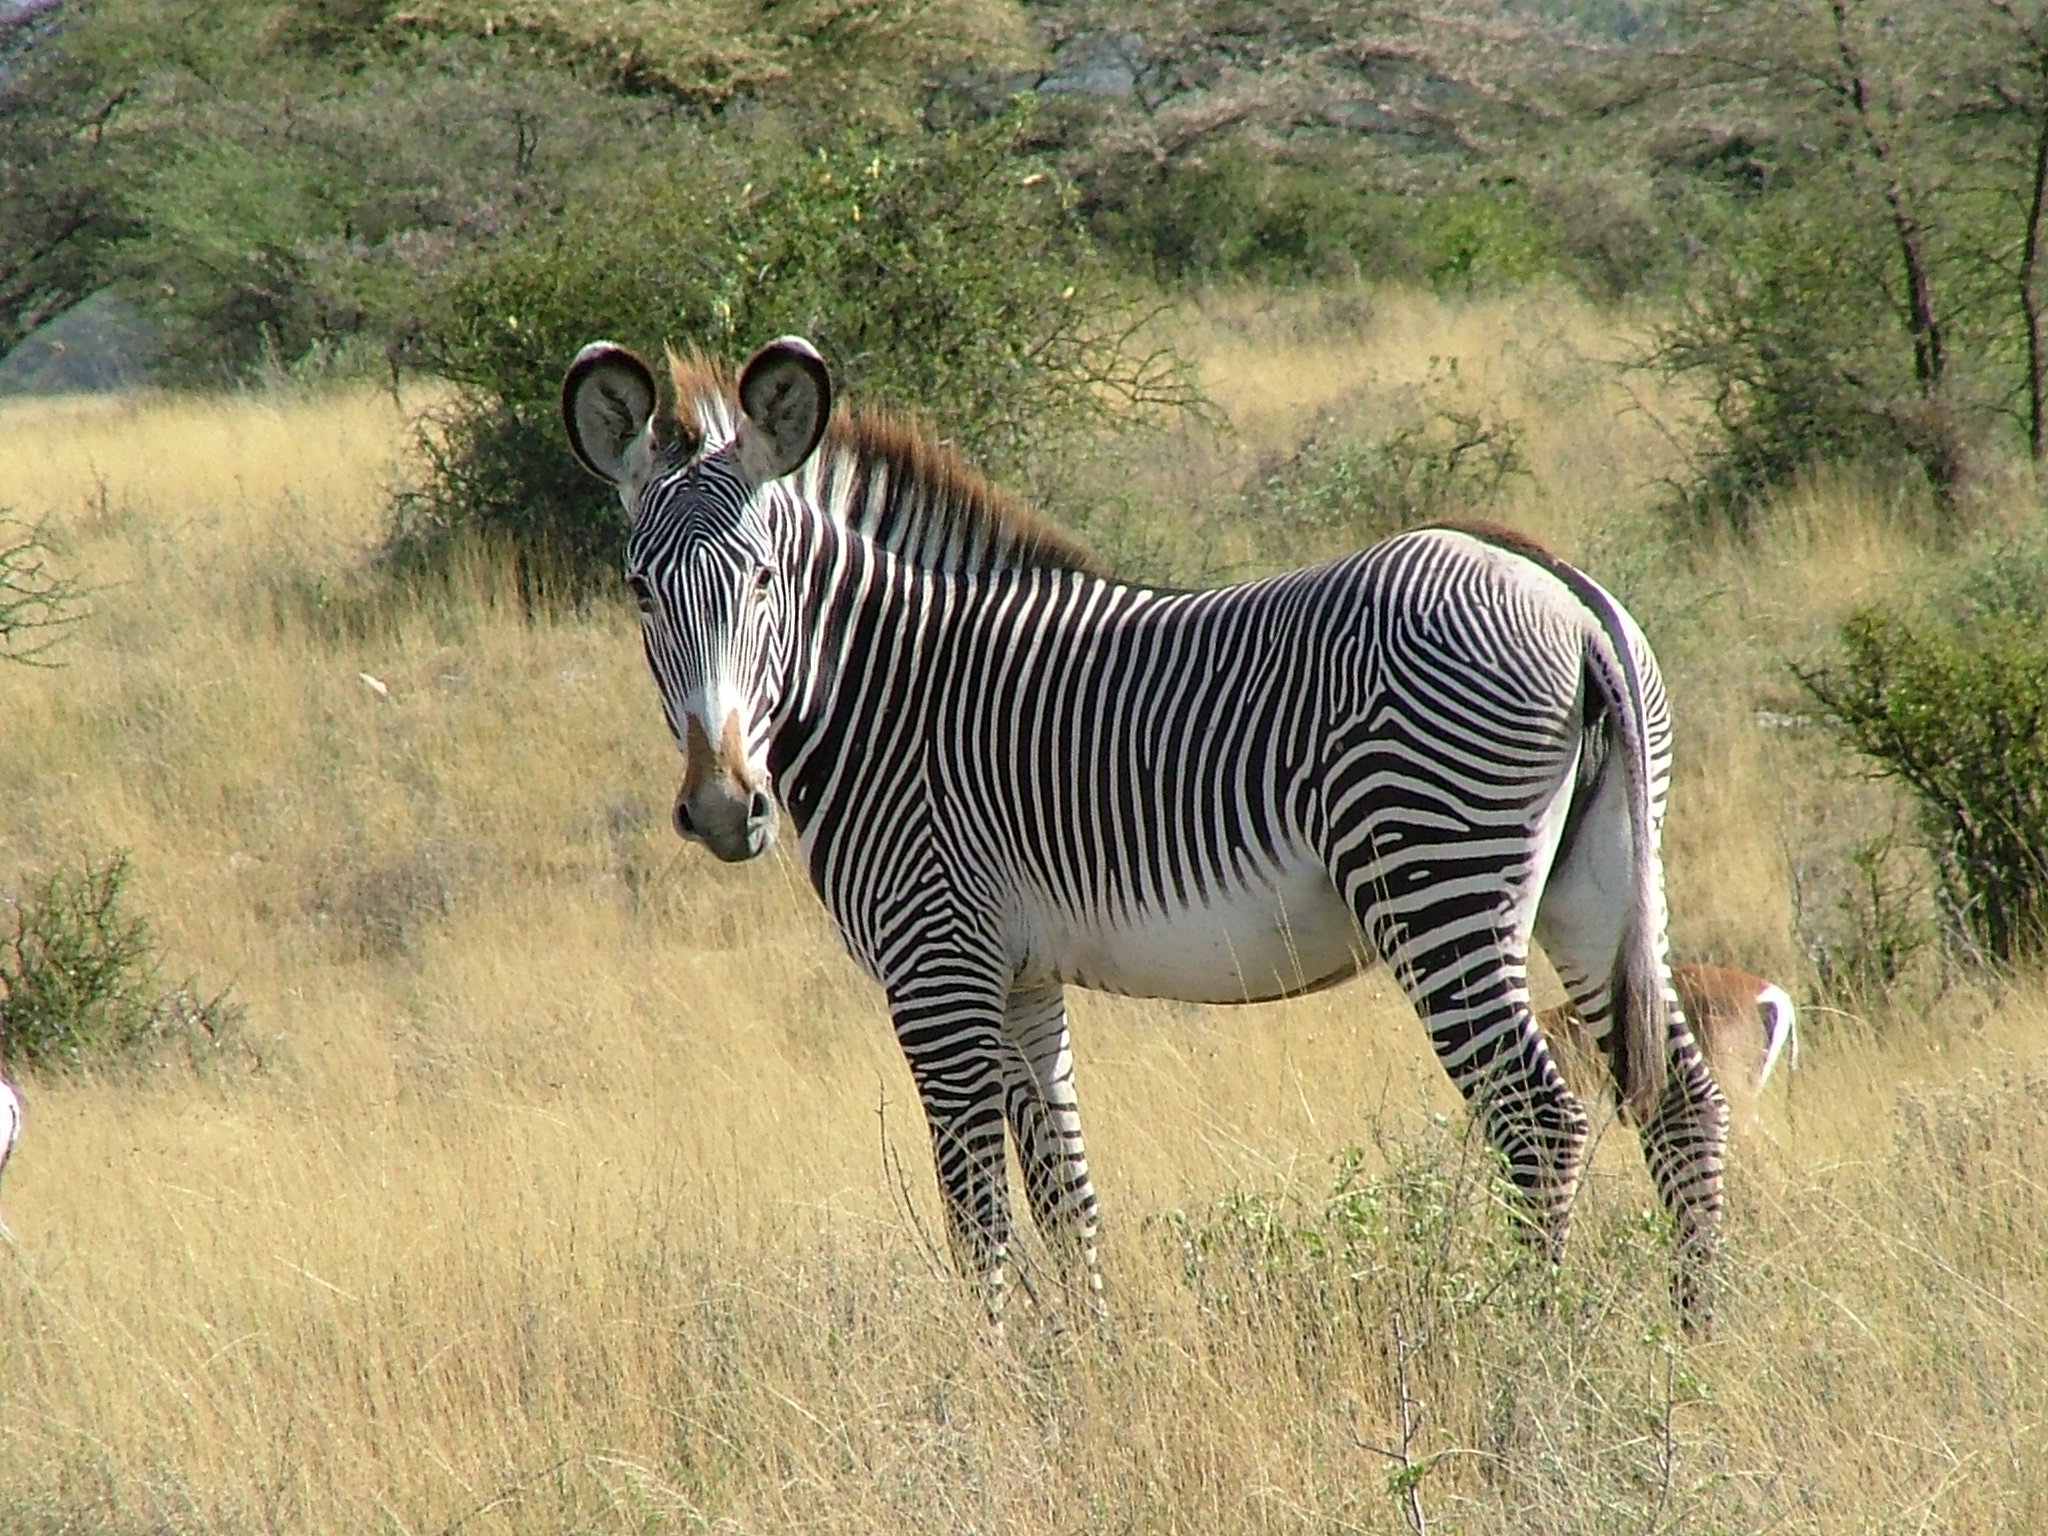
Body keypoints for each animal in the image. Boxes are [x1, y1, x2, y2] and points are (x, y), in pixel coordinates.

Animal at [562, 335, 1729, 1329]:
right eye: (638, 591)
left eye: (763, 579)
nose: (724, 808)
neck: (888, 694)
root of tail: (1563, 593)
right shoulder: (1021, 977)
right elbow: (1062, 1193)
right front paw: (1086, 1374)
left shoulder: (935, 965)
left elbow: (977, 1210)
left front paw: (985, 1393)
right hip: (1597, 880)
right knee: (1683, 1099)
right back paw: (1691, 1347)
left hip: (1436, 877)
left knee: (1540, 1122)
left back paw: (1526, 1350)